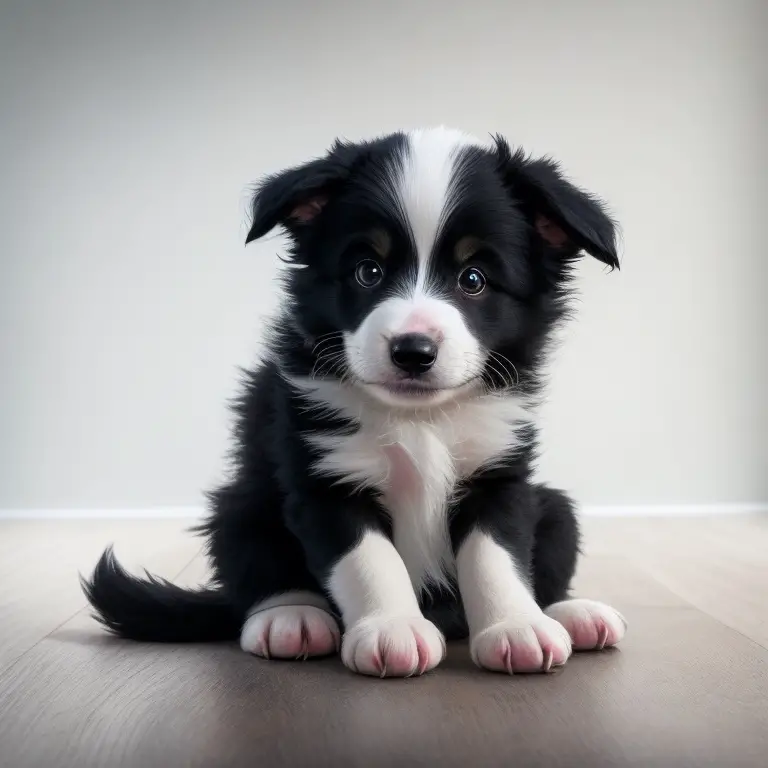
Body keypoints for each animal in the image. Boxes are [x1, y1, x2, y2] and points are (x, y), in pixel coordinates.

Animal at [82, 127, 624, 680]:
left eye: (473, 278)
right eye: (368, 270)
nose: (413, 351)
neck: (419, 419)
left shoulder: (497, 471)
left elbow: (497, 555)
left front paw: (516, 627)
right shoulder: (325, 476)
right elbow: (369, 559)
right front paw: (393, 629)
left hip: (556, 508)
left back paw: (572, 615)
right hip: (240, 504)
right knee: (254, 573)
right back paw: (291, 618)